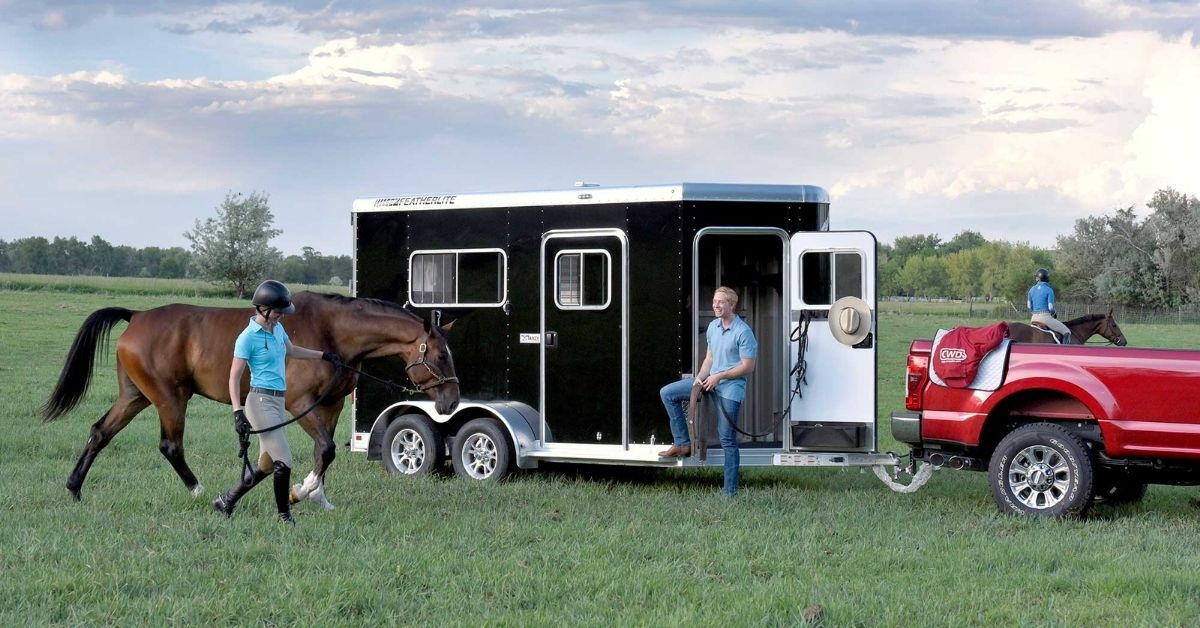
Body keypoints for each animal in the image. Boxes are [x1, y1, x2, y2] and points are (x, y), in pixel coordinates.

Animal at [39, 295, 456, 511]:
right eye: (440, 356)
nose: (451, 401)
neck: (331, 333)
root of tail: (137, 316)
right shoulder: (298, 403)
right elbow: (325, 449)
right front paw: (301, 491)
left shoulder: (330, 405)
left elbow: (320, 453)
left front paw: (316, 496)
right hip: (170, 398)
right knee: (170, 445)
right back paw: (198, 490)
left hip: (135, 396)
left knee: (100, 433)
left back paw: (75, 488)